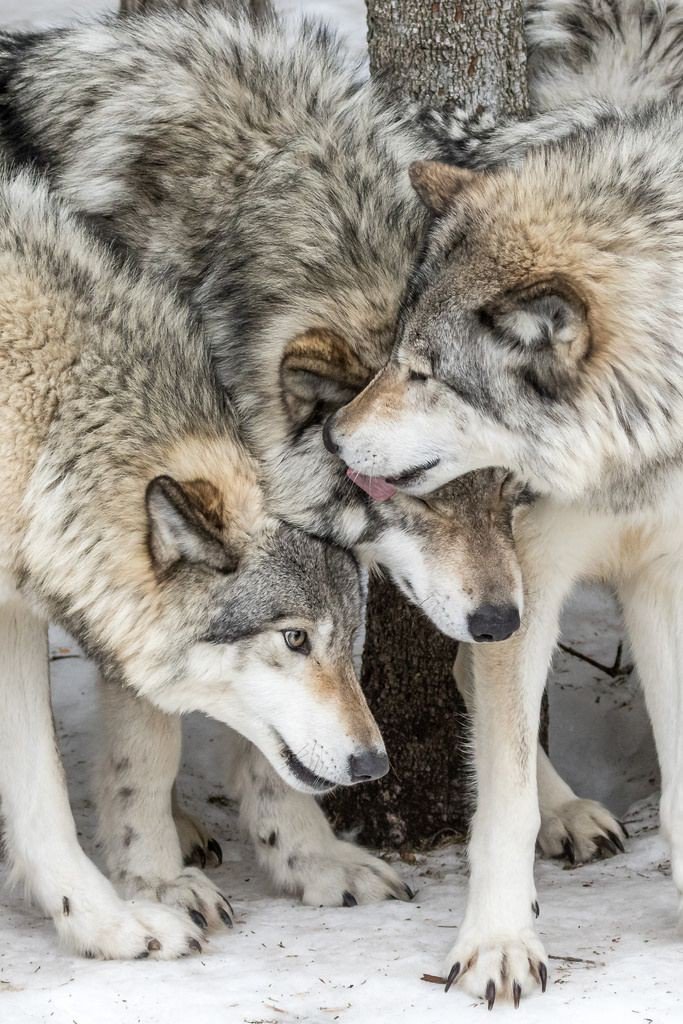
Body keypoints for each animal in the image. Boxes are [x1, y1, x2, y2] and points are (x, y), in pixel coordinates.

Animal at [328, 0, 683, 1004]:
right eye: (392, 354)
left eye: (421, 371)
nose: (333, 436)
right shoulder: (527, 577)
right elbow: (503, 798)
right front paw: (495, 944)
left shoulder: (659, 573)